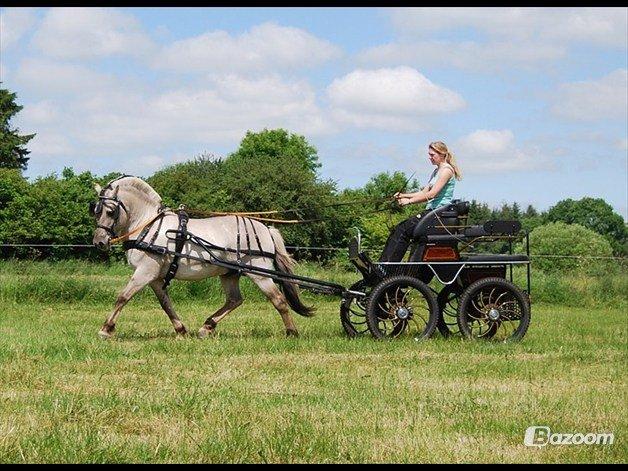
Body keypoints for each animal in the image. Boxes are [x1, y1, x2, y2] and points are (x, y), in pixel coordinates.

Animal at [89, 176, 314, 340]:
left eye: (111, 211)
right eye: (96, 211)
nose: (99, 242)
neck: (148, 225)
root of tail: (266, 229)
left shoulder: (146, 272)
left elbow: (123, 297)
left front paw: (106, 329)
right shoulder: (155, 278)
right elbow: (165, 303)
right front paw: (181, 330)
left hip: (259, 273)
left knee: (278, 300)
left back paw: (291, 332)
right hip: (230, 273)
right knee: (234, 300)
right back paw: (207, 327)